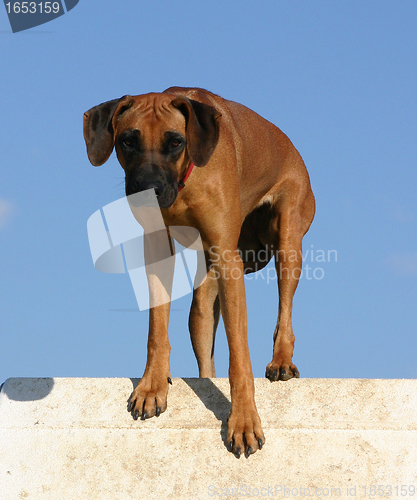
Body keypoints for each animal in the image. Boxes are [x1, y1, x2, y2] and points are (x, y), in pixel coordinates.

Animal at [83, 87, 314, 458]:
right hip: (203, 300)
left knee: (285, 312)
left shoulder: (230, 262)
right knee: (205, 344)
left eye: (176, 142)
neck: (185, 181)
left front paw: (243, 421)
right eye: (128, 140)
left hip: (288, 240)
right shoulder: (157, 252)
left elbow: (240, 356)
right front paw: (151, 386)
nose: (148, 189)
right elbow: (156, 331)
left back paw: (281, 360)